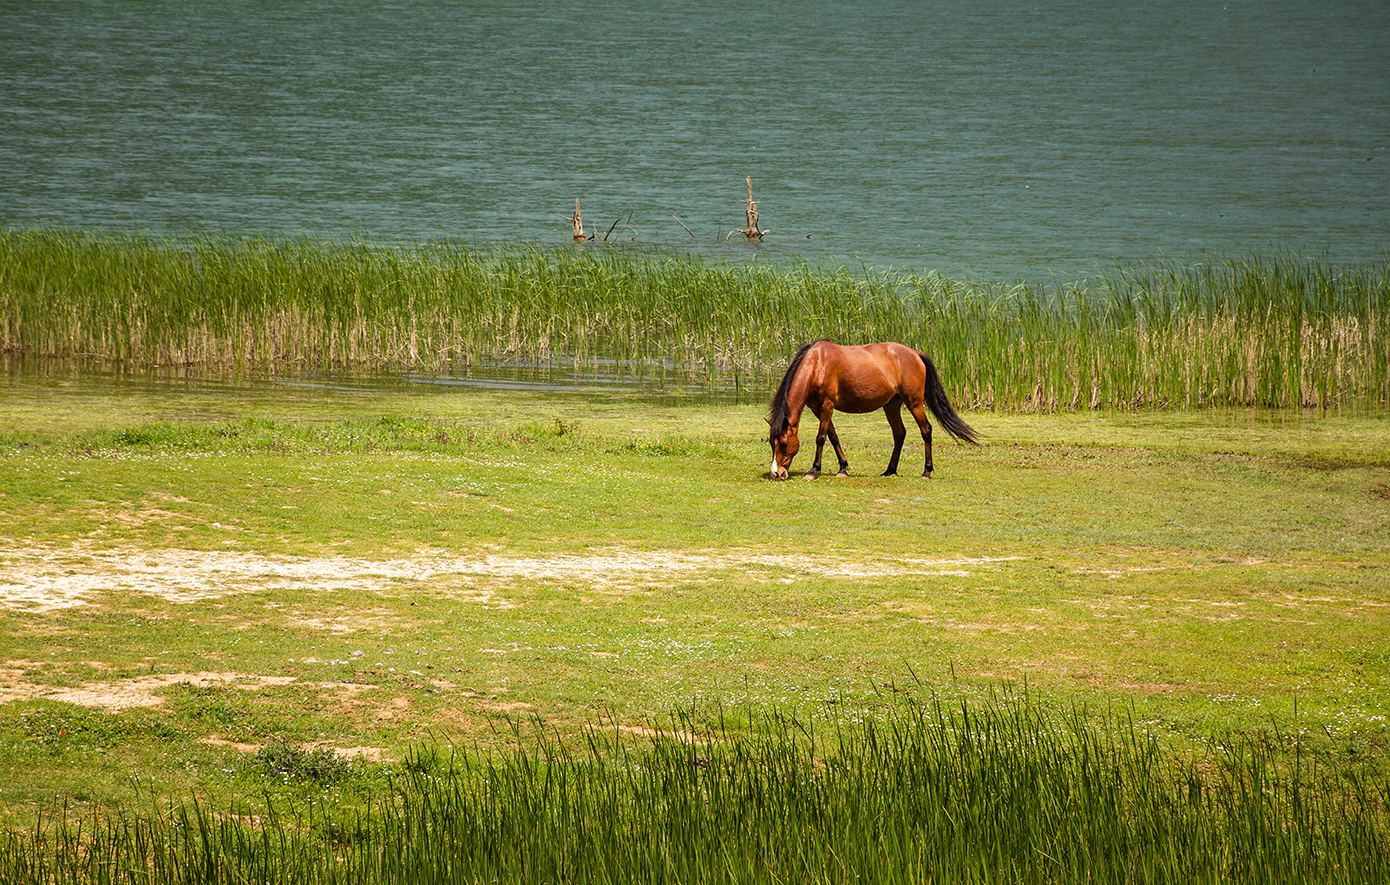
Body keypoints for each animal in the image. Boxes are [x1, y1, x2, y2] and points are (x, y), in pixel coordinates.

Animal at [772, 340, 978, 480]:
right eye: (770, 443)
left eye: (784, 443)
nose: (777, 473)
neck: (817, 364)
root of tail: (915, 353)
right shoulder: (817, 408)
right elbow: (833, 436)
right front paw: (843, 468)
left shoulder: (827, 405)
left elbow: (821, 438)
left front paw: (814, 470)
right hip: (892, 405)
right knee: (899, 433)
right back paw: (890, 470)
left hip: (915, 403)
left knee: (926, 430)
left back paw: (926, 471)